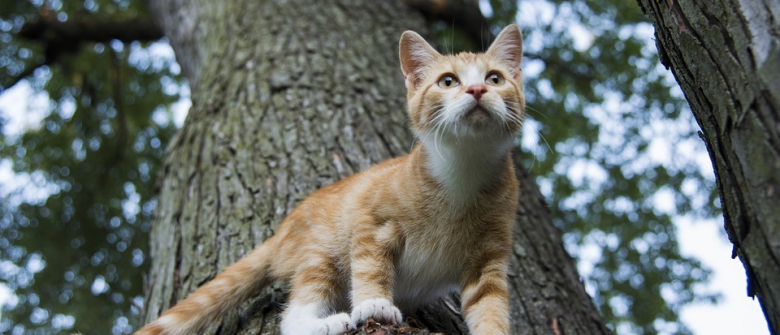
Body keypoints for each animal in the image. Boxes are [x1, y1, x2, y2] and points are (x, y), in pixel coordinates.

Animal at [136, 25, 524, 335]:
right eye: (448, 81)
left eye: (494, 78)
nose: (476, 90)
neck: (462, 171)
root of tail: (281, 231)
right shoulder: (371, 221)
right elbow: (370, 266)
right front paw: (374, 302)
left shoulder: (488, 260)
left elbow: (490, 304)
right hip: (320, 253)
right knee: (293, 314)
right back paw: (326, 323)